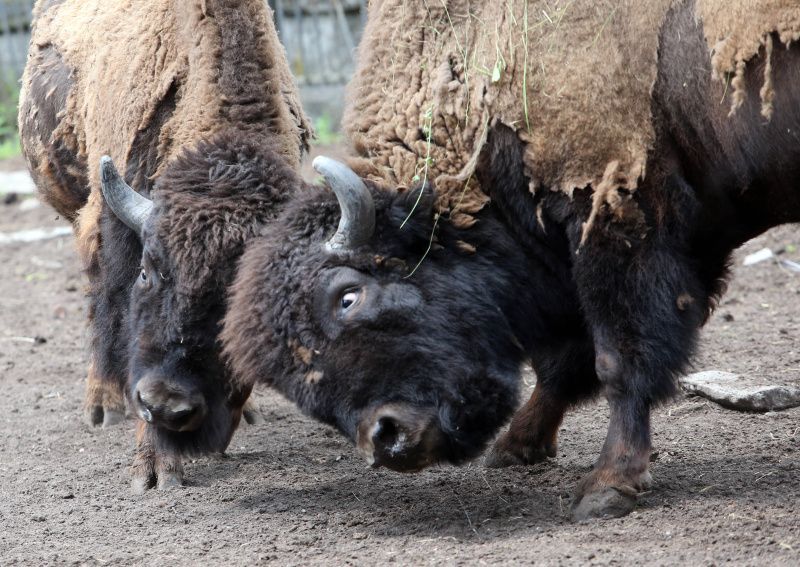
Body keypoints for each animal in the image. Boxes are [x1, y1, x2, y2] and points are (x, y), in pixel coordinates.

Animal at [222, 0, 800, 520]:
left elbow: (616, 361)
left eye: (347, 296)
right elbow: (565, 364)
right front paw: (517, 447)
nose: (387, 440)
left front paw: (606, 487)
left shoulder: (616, 230)